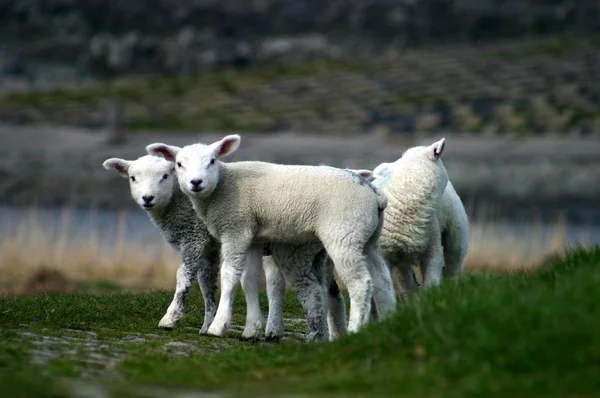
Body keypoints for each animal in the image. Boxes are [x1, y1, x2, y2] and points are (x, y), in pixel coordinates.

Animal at [102, 154, 346, 340]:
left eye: (164, 176)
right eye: (133, 177)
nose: (147, 198)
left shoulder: (194, 237)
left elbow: (184, 276)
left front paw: (170, 318)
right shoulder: (208, 247)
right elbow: (207, 283)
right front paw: (206, 324)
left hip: (300, 250)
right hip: (319, 253)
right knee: (329, 290)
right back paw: (334, 334)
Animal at [146, 135, 398, 340]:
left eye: (212, 161)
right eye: (179, 164)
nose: (196, 182)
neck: (222, 186)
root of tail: (374, 193)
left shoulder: (236, 229)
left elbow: (229, 275)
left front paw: (218, 326)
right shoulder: (253, 237)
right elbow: (249, 280)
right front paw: (252, 330)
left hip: (344, 234)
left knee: (361, 283)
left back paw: (356, 329)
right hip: (368, 239)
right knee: (382, 280)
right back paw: (387, 324)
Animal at [366, 138, 468, 296]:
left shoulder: (433, 248)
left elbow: (431, 281)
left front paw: (431, 297)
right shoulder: (383, 254)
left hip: (455, 230)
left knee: (454, 260)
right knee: (406, 280)